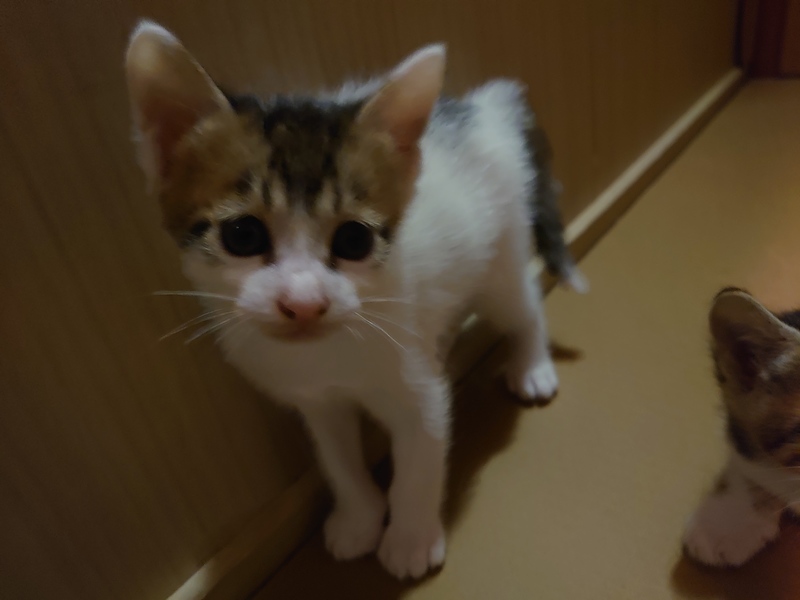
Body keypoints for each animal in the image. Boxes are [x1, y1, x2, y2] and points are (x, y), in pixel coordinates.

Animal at [125, 21, 586, 579]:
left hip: (500, 256)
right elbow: (336, 458)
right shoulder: (315, 400)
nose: (303, 302)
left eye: (353, 240)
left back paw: (532, 365)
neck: (328, 355)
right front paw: (358, 520)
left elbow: (420, 457)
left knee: (523, 303)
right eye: (242, 234)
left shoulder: (417, 395)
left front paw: (410, 539)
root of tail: (485, 107)